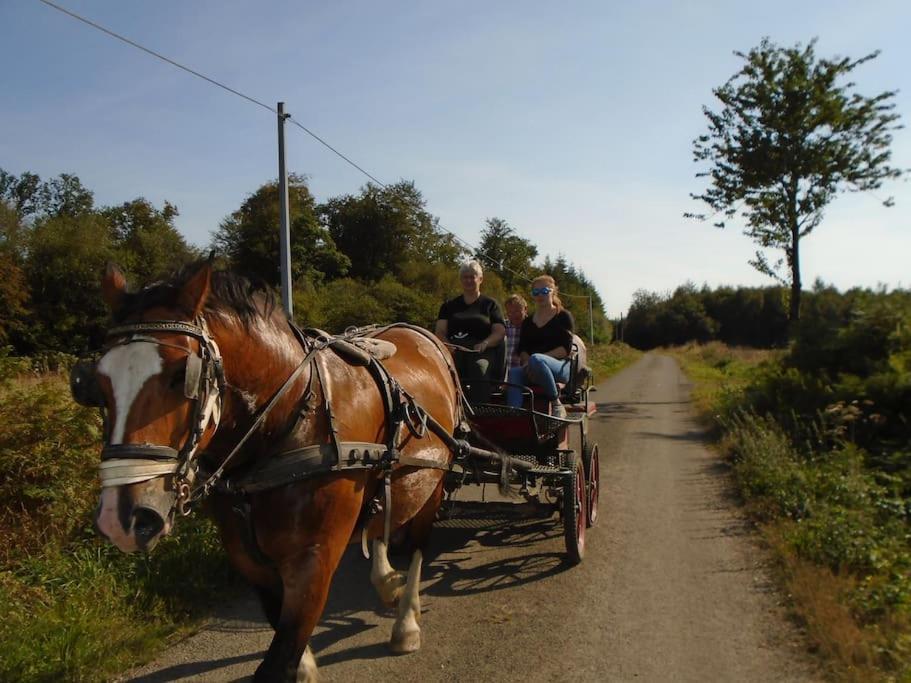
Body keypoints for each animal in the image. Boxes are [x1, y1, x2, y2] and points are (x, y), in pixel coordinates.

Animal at [76, 260, 464, 680]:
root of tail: (421, 334)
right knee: (382, 518)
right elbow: (281, 629)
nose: (120, 518)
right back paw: (388, 582)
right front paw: (306, 667)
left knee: (419, 544)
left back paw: (406, 620)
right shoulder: (247, 556)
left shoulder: (314, 561)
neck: (292, 415)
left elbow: (282, 652)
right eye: (96, 385)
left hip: (435, 478)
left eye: (182, 376)